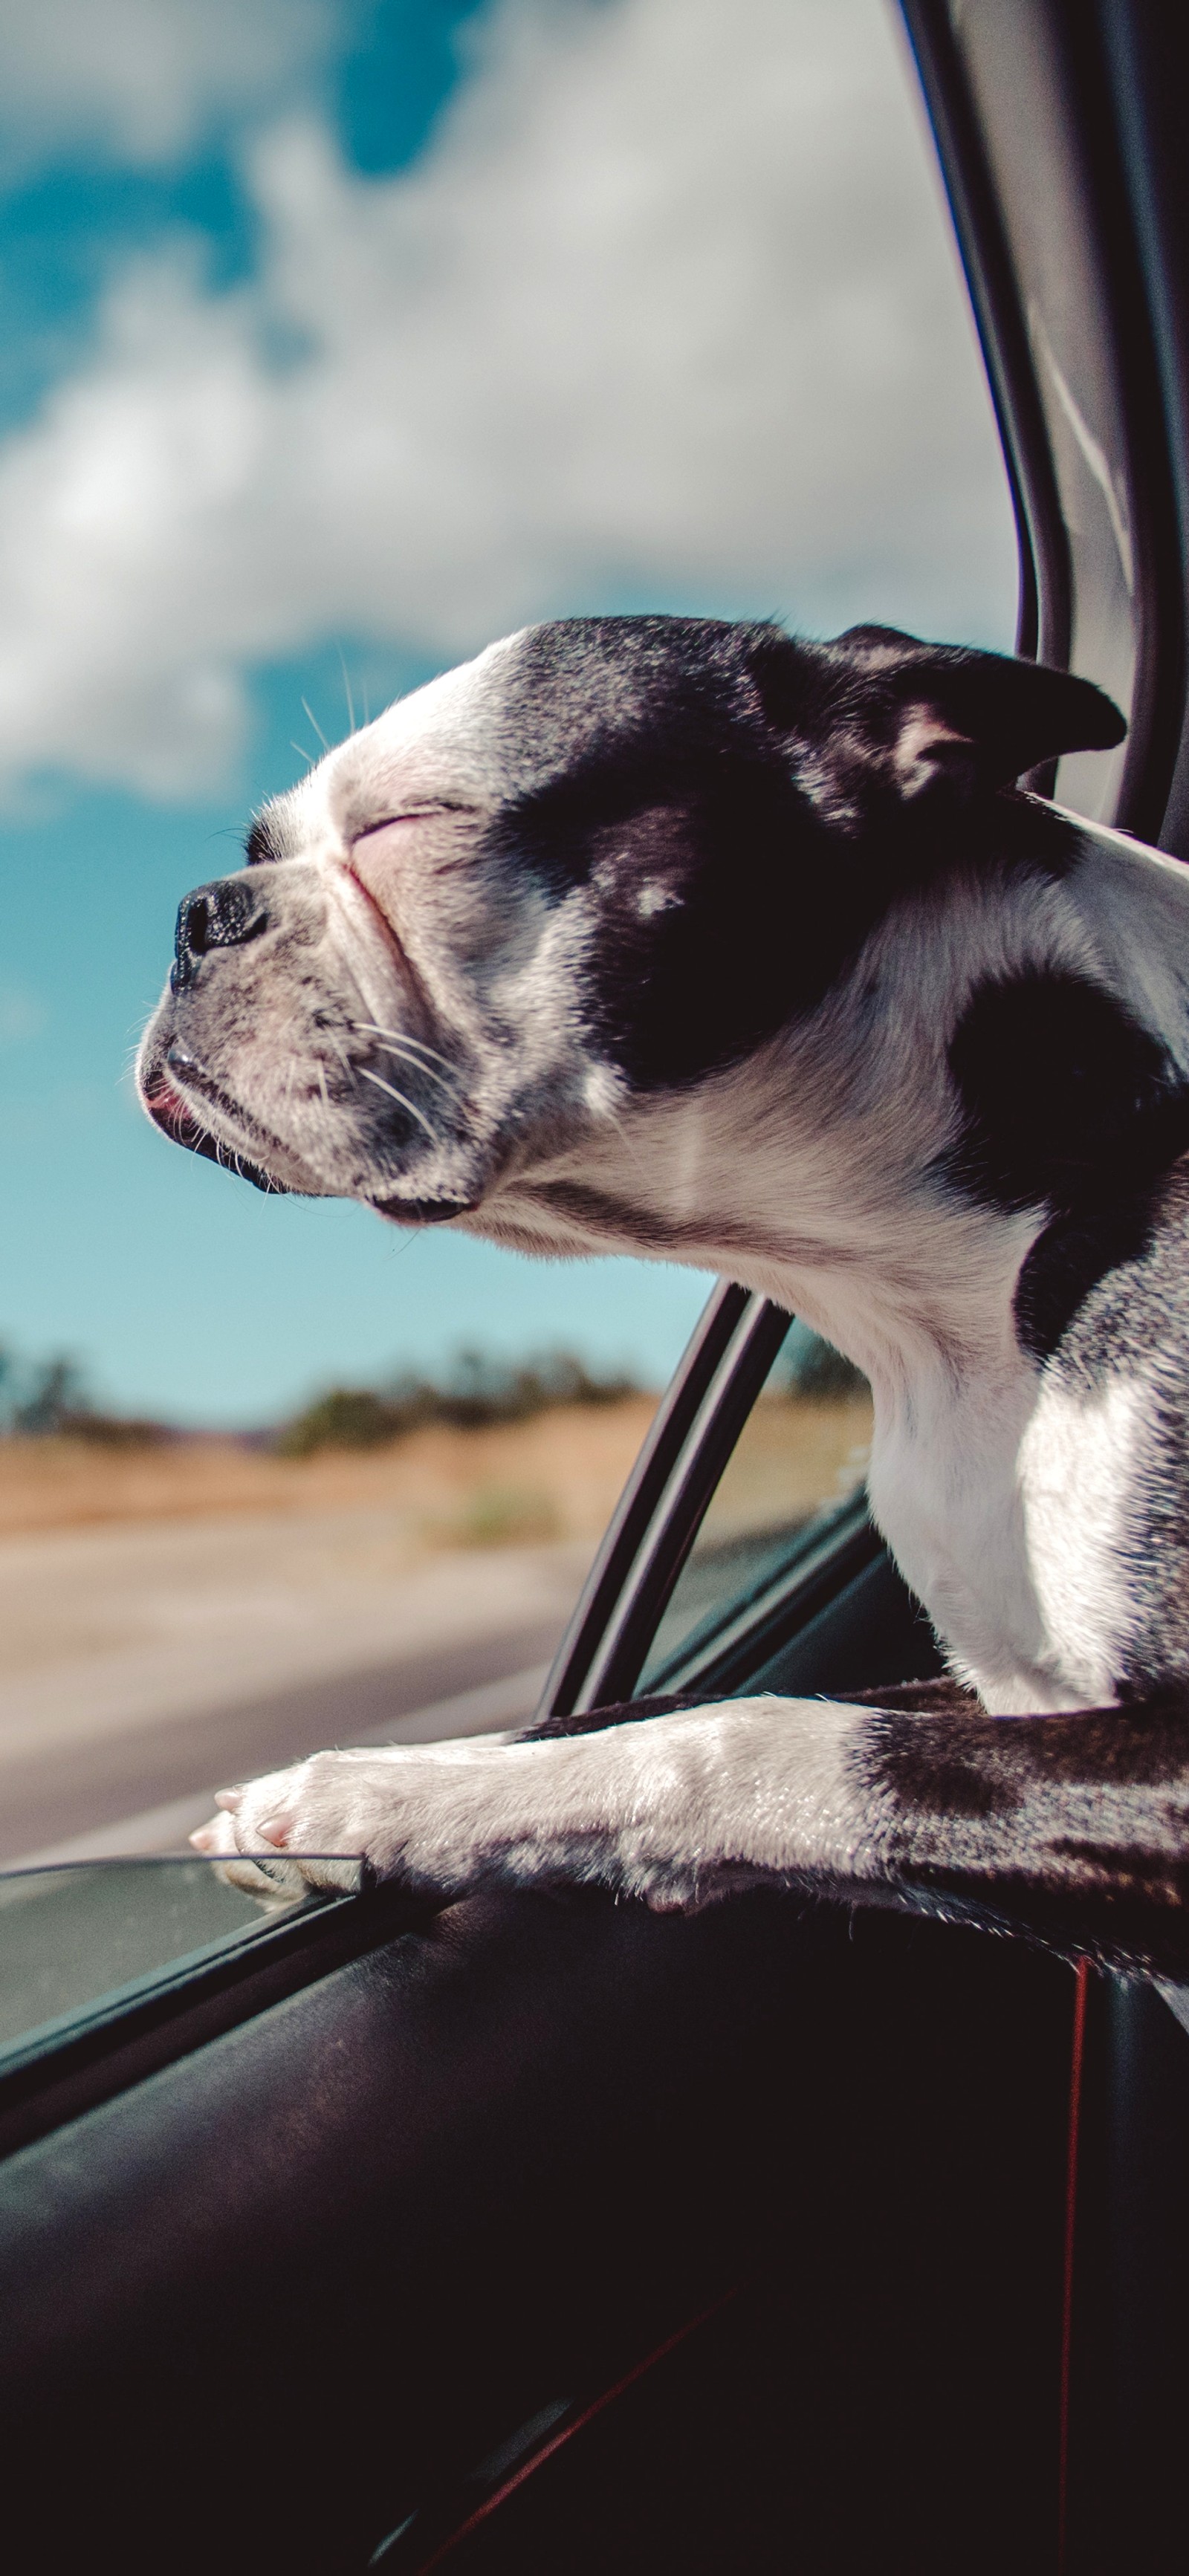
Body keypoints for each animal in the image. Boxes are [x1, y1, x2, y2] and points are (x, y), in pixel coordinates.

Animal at [136, 618, 1189, 1967]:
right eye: (256, 853)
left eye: (409, 824)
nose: (197, 912)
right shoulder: (993, 1682)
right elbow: (652, 1701)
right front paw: (388, 1785)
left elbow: (748, 1732)